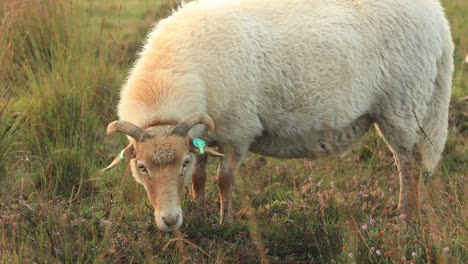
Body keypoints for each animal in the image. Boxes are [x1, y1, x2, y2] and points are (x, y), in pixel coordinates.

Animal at [103, 0, 454, 231]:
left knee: (409, 162)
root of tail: (439, 18)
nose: (170, 221)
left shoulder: (237, 130)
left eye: (181, 163)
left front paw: (225, 223)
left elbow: (223, 180)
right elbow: (200, 179)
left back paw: (406, 219)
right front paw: (200, 214)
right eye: (142, 167)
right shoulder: (204, 132)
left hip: (403, 103)